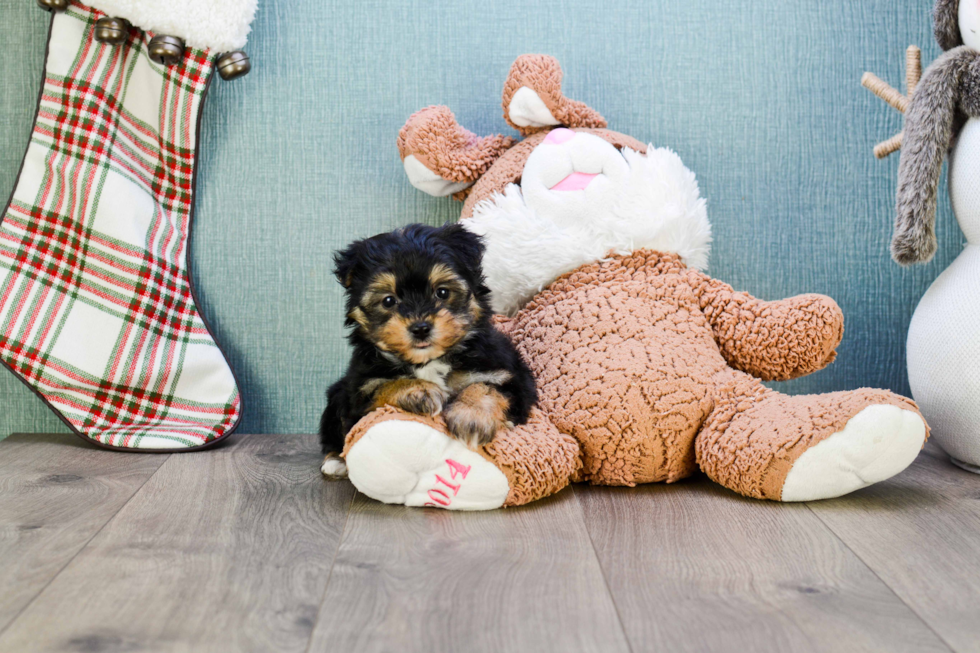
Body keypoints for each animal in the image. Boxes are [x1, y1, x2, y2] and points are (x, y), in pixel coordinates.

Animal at [320, 222, 536, 476]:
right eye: (388, 301)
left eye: (442, 292)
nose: (420, 328)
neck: (429, 360)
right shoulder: (359, 392)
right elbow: (383, 387)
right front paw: (419, 390)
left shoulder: (511, 376)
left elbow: (487, 388)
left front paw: (472, 417)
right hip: (337, 396)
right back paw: (335, 460)